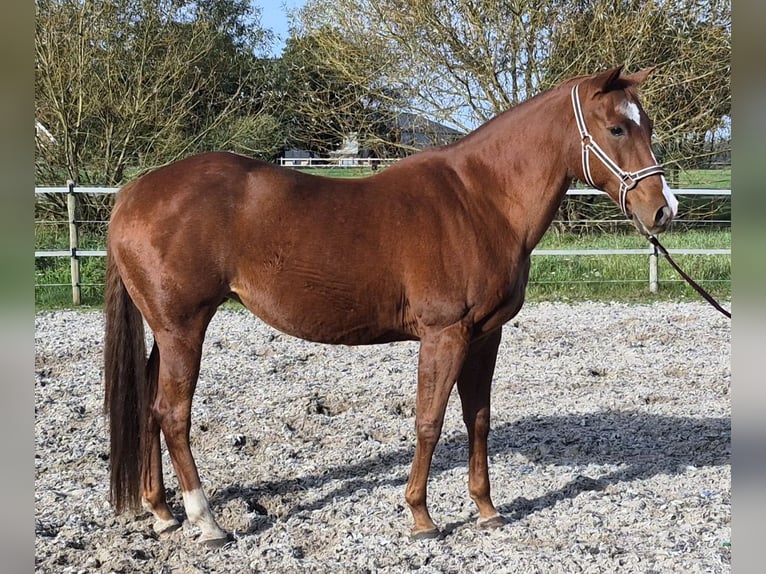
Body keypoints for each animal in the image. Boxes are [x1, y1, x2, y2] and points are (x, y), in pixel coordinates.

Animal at [104, 65, 678, 546]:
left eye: (646, 124)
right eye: (617, 129)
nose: (663, 209)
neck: (481, 201)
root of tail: (134, 192)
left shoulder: (485, 336)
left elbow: (478, 418)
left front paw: (486, 509)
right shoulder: (444, 334)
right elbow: (429, 420)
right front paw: (421, 517)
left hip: (167, 331)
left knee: (150, 404)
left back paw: (161, 512)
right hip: (184, 328)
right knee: (172, 414)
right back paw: (206, 522)